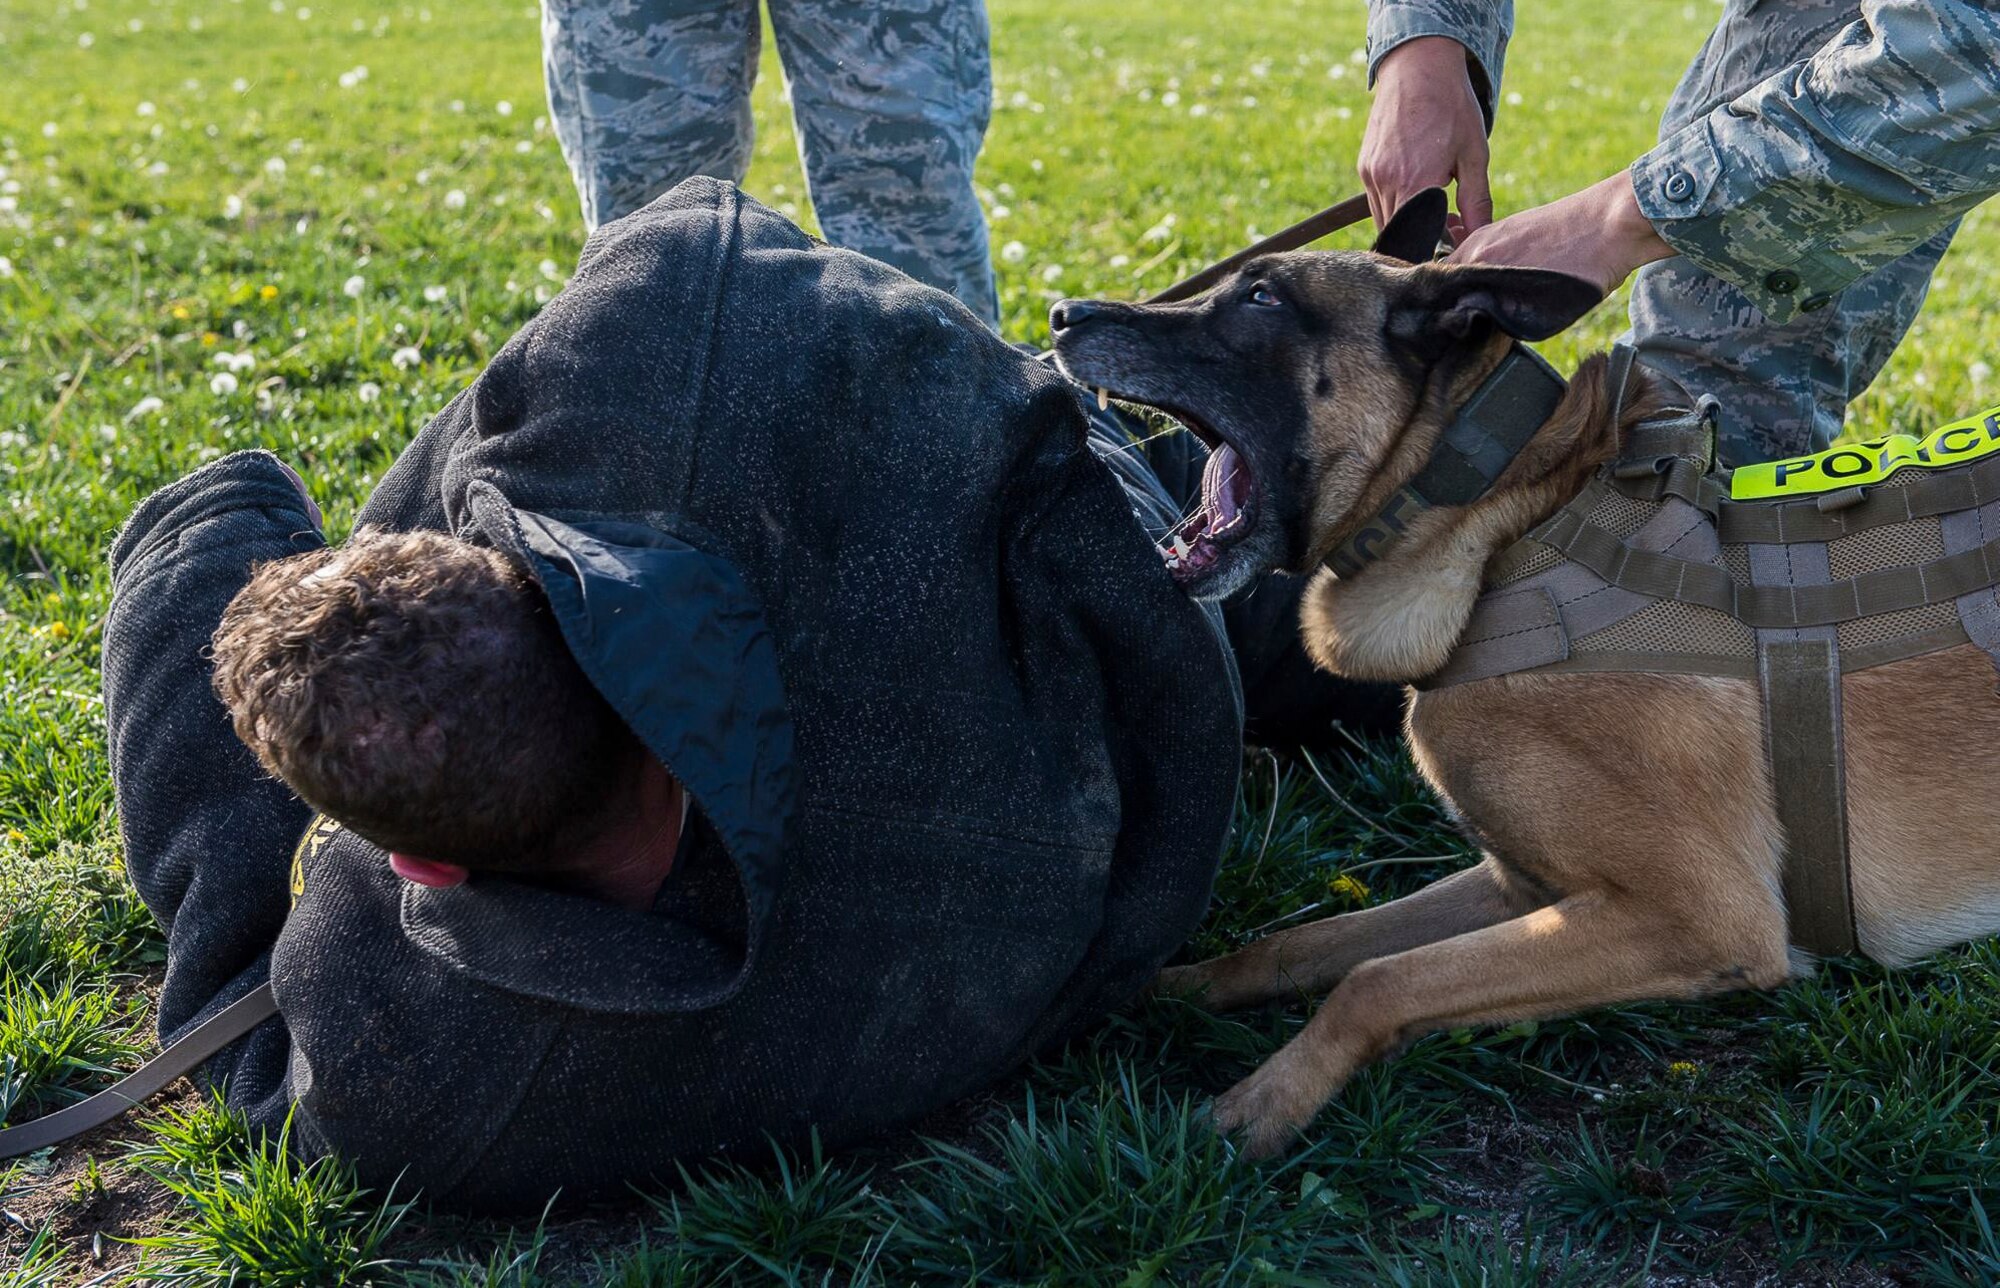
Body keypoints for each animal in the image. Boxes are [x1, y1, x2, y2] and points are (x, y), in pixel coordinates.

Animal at [1048, 189, 2000, 1160]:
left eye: (1262, 297)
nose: (1060, 315)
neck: (1500, 527)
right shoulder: (1520, 883)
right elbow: (1307, 943)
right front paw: (1173, 989)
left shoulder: (1701, 916)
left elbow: (1378, 980)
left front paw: (1263, 1102)